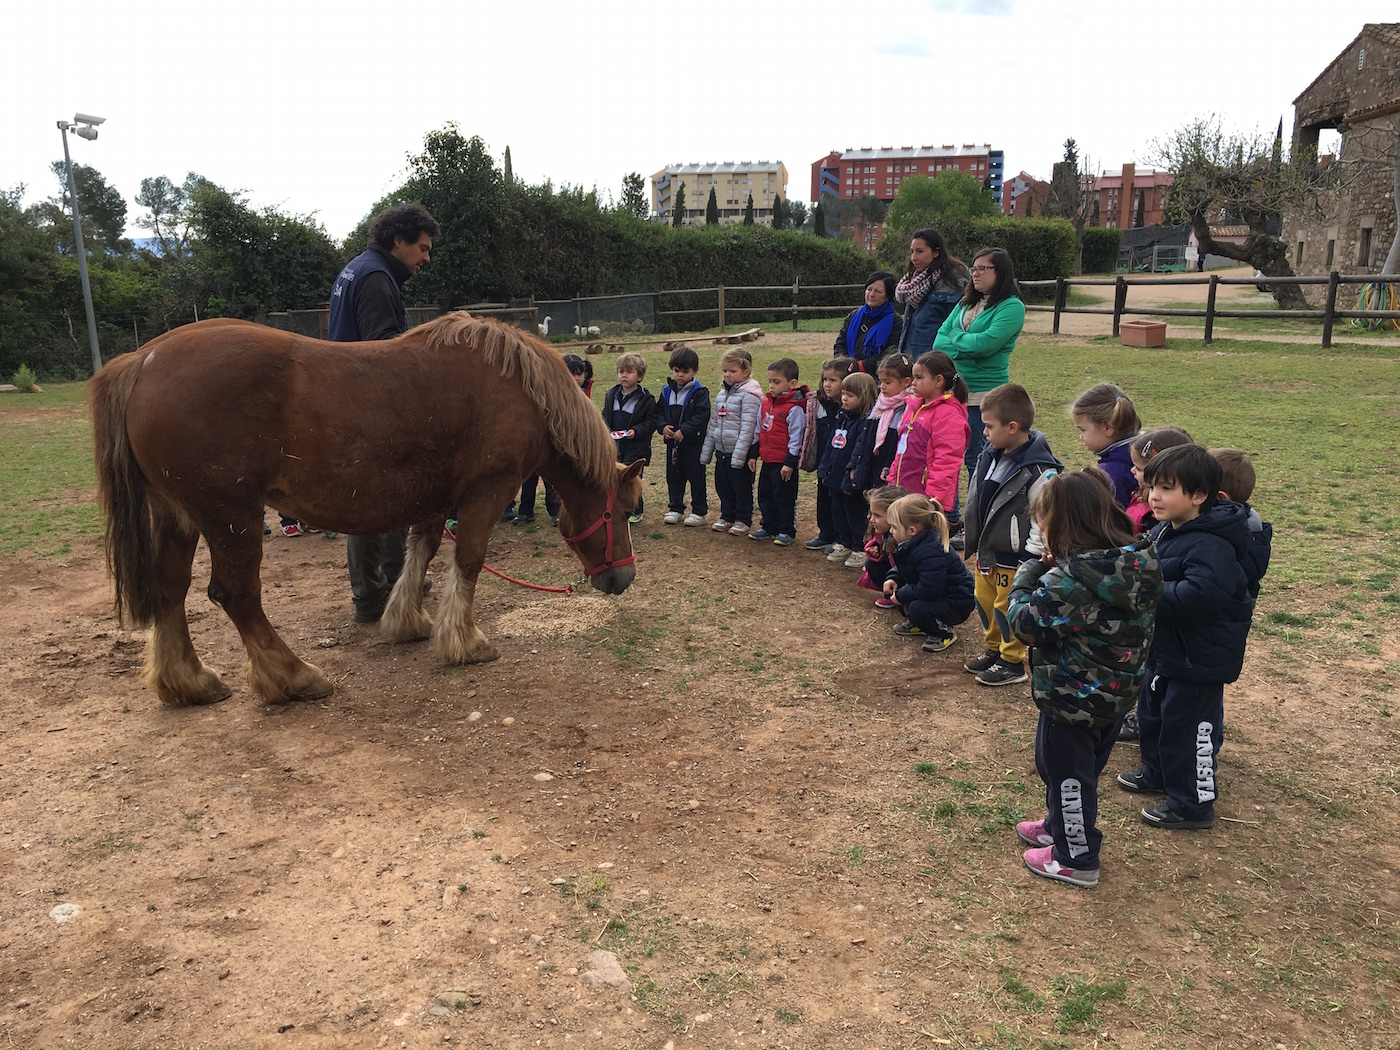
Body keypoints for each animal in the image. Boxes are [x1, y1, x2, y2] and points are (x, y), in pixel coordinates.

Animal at [89, 314, 643, 708]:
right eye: (624, 510)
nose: (624, 579)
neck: (521, 390)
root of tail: (142, 360)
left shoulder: (438, 497)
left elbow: (423, 549)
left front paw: (407, 620)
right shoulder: (487, 492)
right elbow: (467, 561)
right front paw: (464, 641)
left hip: (178, 517)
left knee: (170, 588)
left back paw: (188, 681)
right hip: (231, 518)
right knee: (237, 594)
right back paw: (293, 677)